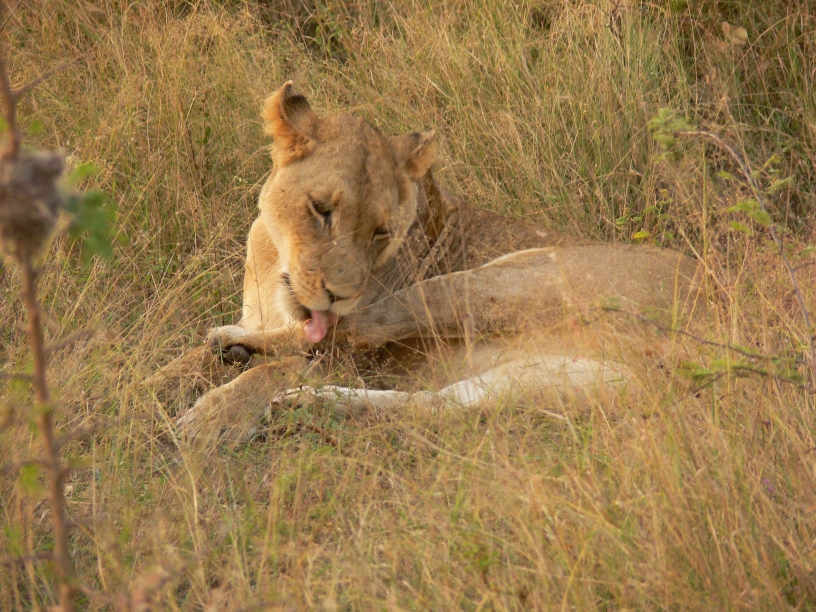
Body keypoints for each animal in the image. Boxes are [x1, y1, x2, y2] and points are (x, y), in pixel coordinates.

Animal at [167, 82, 704, 443]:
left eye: (381, 232)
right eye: (321, 210)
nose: (338, 294)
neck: (273, 257)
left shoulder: (353, 353)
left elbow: (281, 365)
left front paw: (210, 419)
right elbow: (174, 366)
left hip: (506, 279)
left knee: (359, 331)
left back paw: (246, 354)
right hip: (564, 380)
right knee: (434, 407)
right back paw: (307, 406)